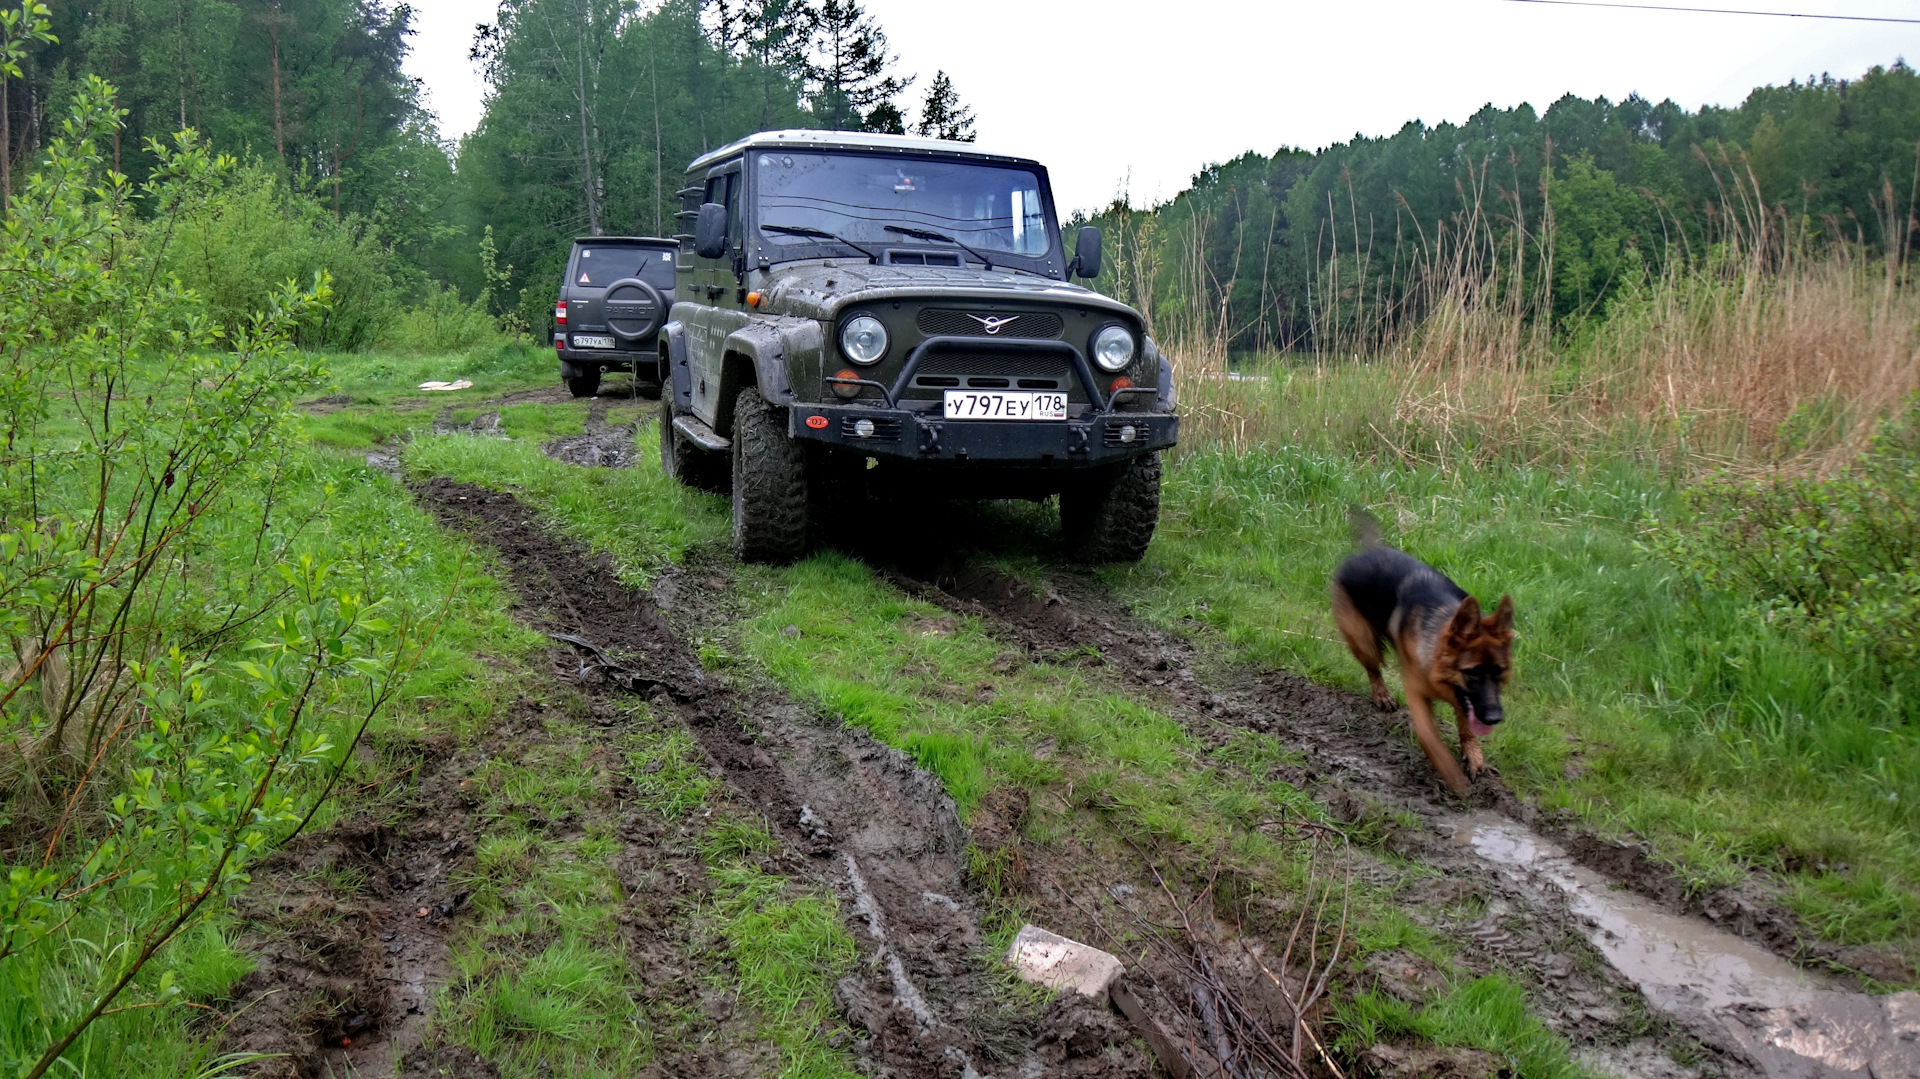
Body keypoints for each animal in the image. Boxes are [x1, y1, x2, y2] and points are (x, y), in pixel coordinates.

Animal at [1336, 510, 1512, 791]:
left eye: (1500, 672)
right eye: (1471, 672)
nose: (1494, 718)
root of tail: (1369, 551)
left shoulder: (1465, 700)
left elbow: (1467, 727)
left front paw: (1474, 755)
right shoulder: (1417, 694)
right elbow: (1430, 739)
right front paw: (1451, 773)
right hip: (1363, 641)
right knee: (1373, 668)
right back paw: (1381, 694)